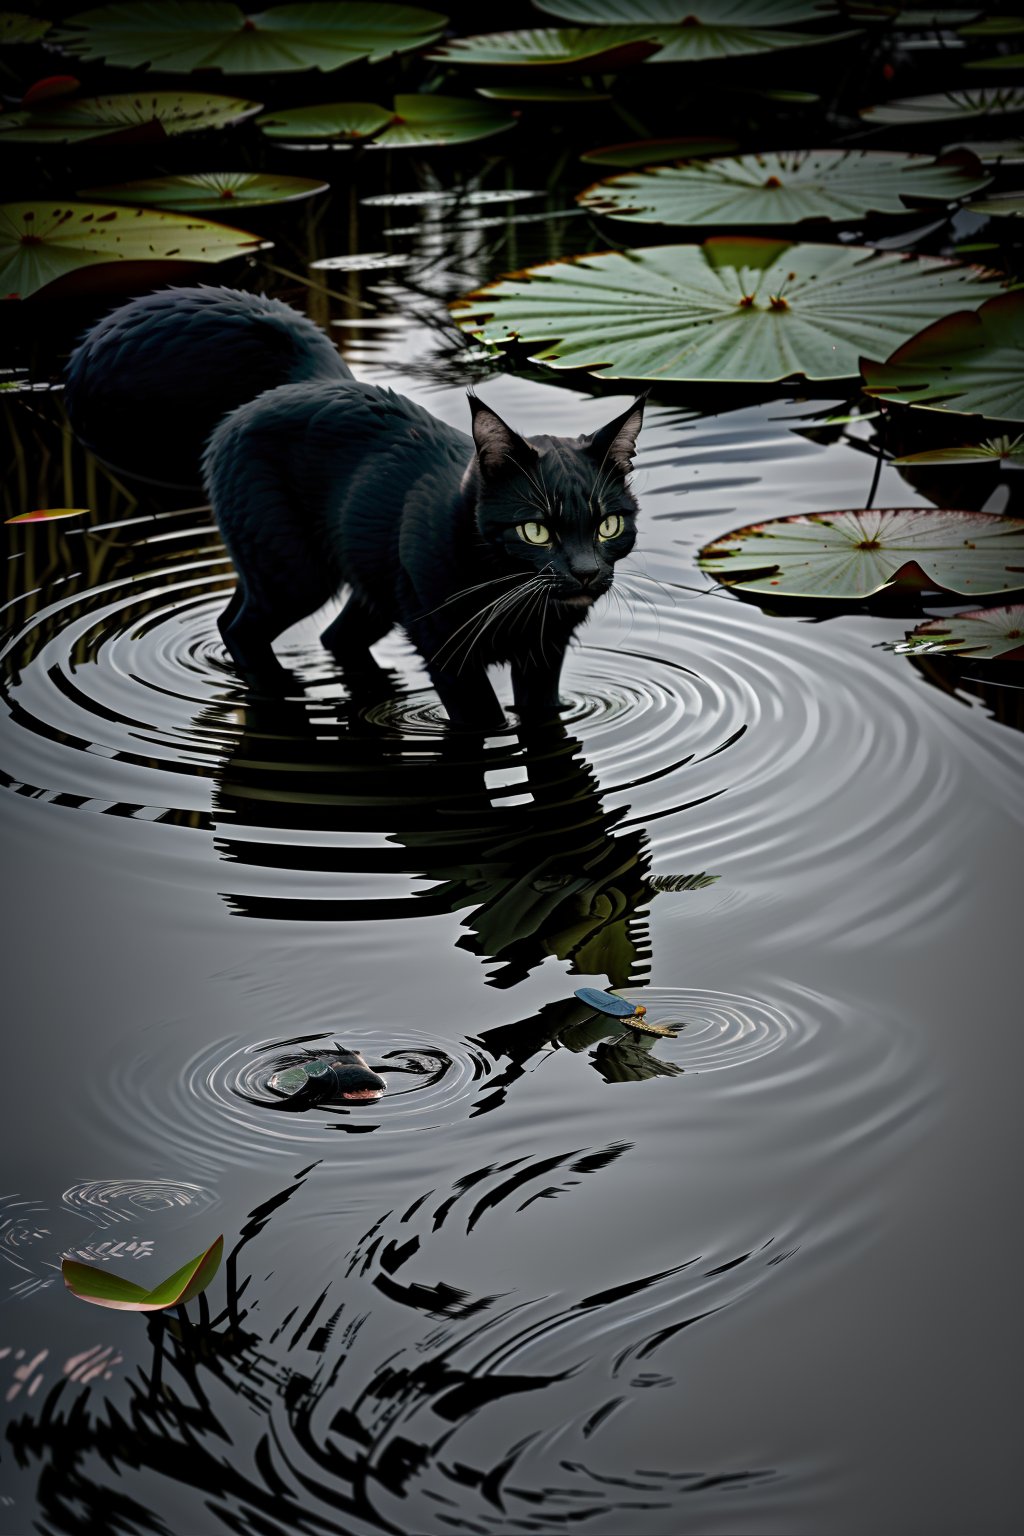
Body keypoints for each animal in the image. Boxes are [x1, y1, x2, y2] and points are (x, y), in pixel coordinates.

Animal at [64, 288, 644, 731]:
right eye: (536, 531)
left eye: (608, 525)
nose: (586, 572)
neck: (509, 597)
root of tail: (308, 381)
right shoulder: (445, 649)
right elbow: (484, 719)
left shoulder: (545, 655)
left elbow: (541, 716)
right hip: (295, 571)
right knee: (239, 626)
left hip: (366, 581)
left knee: (331, 635)